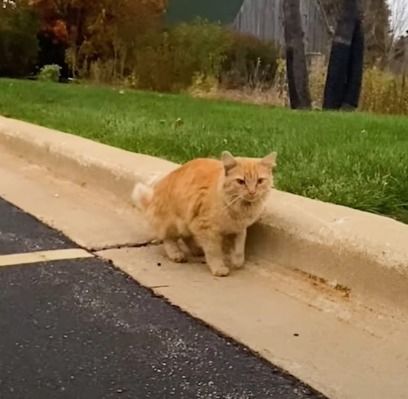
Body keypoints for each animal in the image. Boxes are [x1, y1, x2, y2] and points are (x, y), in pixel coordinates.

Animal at [132, 152, 276, 276]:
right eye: (241, 181)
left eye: (260, 181)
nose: (252, 192)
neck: (239, 208)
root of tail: (153, 198)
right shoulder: (206, 227)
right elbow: (214, 252)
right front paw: (218, 268)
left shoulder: (239, 228)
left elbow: (239, 248)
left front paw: (237, 262)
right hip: (173, 223)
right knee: (168, 239)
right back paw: (176, 254)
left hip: (187, 222)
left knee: (187, 237)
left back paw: (197, 250)